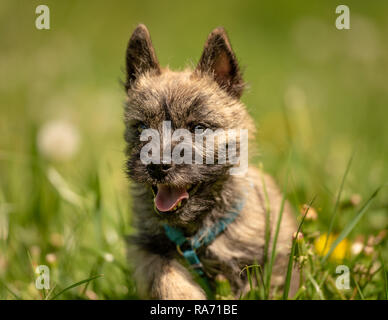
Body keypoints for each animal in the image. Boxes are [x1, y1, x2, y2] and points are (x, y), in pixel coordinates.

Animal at [124, 23, 298, 298]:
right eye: (141, 127)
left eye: (198, 127)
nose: (157, 166)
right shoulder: (148, 247)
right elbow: (162, 273)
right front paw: (183, 294)